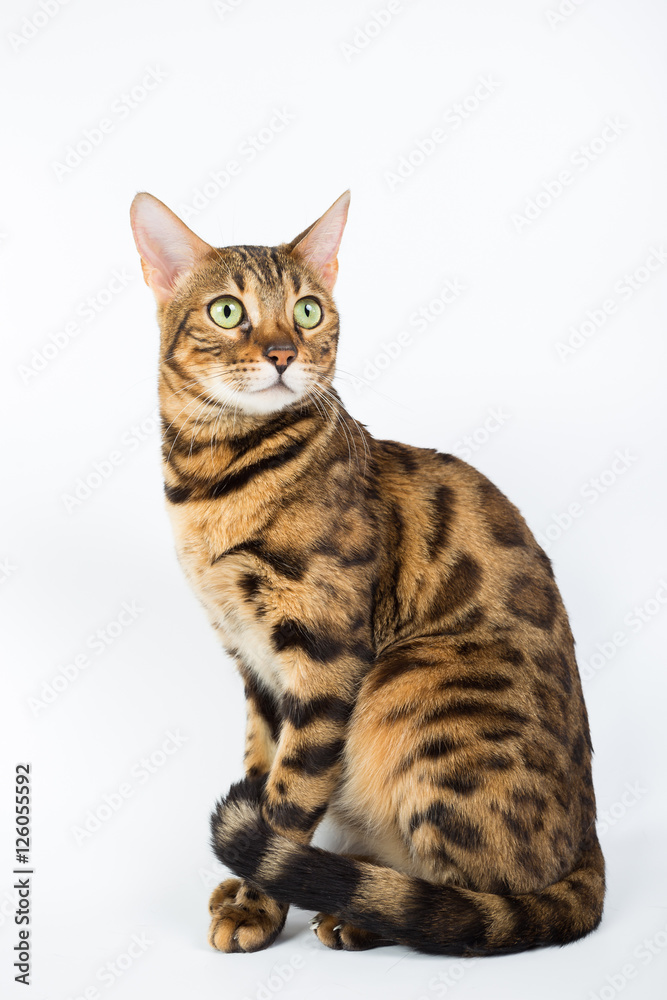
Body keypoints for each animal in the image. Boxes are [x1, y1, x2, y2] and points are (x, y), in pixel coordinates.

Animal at [130, 189, 604, 952]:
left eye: (307, 310)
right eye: (227, 310)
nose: (283, 354)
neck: (215, 477)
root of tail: (590, 843)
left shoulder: (326, 656)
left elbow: (288, 798)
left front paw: (256, 906)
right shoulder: (254, 665)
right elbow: (261, 772)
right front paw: (247, 884)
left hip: (409, 691)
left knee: (481, 902)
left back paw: (367, 911)